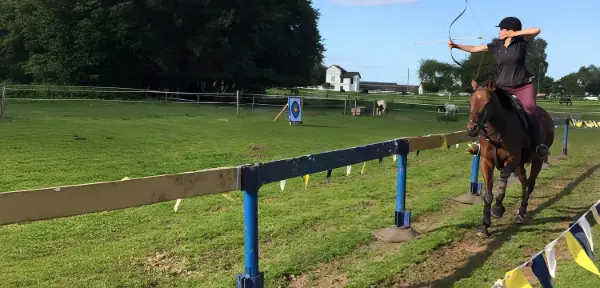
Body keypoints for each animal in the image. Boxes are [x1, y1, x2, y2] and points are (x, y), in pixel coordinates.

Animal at [464, 79, 556, 236]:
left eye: (488, 101)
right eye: (471, 100)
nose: (472, 128)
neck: (498, 131)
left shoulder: (512, 160)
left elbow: (503, 176)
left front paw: (498, 209)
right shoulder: (486, 162)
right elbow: (488, 193)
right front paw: (485, 225)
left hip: (537, 160)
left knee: (530, 183)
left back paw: (521, 213)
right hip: (520, 165)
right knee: (524, 182)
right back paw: (520, 211)